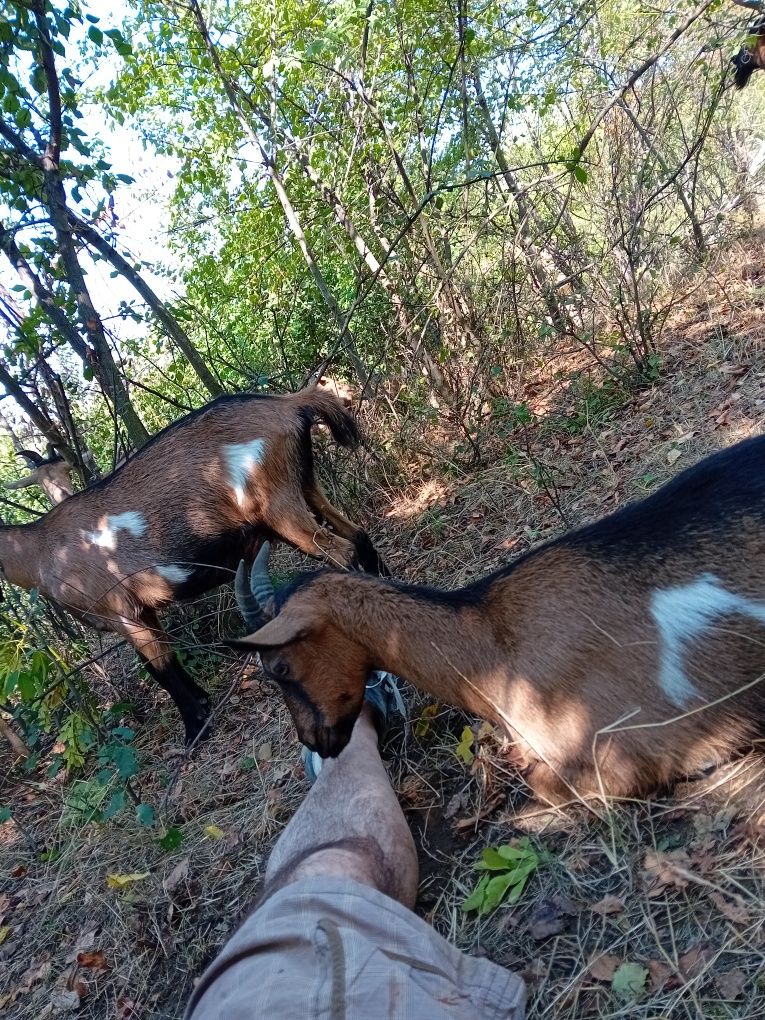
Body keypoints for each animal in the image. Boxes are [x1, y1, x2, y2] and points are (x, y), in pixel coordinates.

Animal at [1, 387, 389, 742]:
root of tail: (288, 403)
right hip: (306, 485)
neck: (41, 548)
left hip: (279, 505)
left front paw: (195, 729)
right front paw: (203, 706)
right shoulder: (145, 611)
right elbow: (168, 661)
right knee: (358, 535)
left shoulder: (122, 610)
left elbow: (160, 668)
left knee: (341, 552)